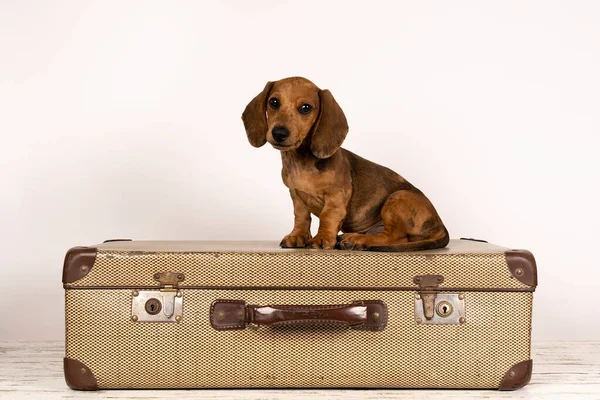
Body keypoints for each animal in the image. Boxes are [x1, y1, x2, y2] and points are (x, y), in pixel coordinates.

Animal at [241, 77, 448, 252]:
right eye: (274, 102)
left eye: (306, 107)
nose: (279, 133)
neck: (301, 161)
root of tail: (442, 227)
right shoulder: (296, 195)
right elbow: (301, 217)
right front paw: (297, 236)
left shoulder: (336, 197)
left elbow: (327, 217)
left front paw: (321, 239)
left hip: (398, 197)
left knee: (394, 237)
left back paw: (357, 240)